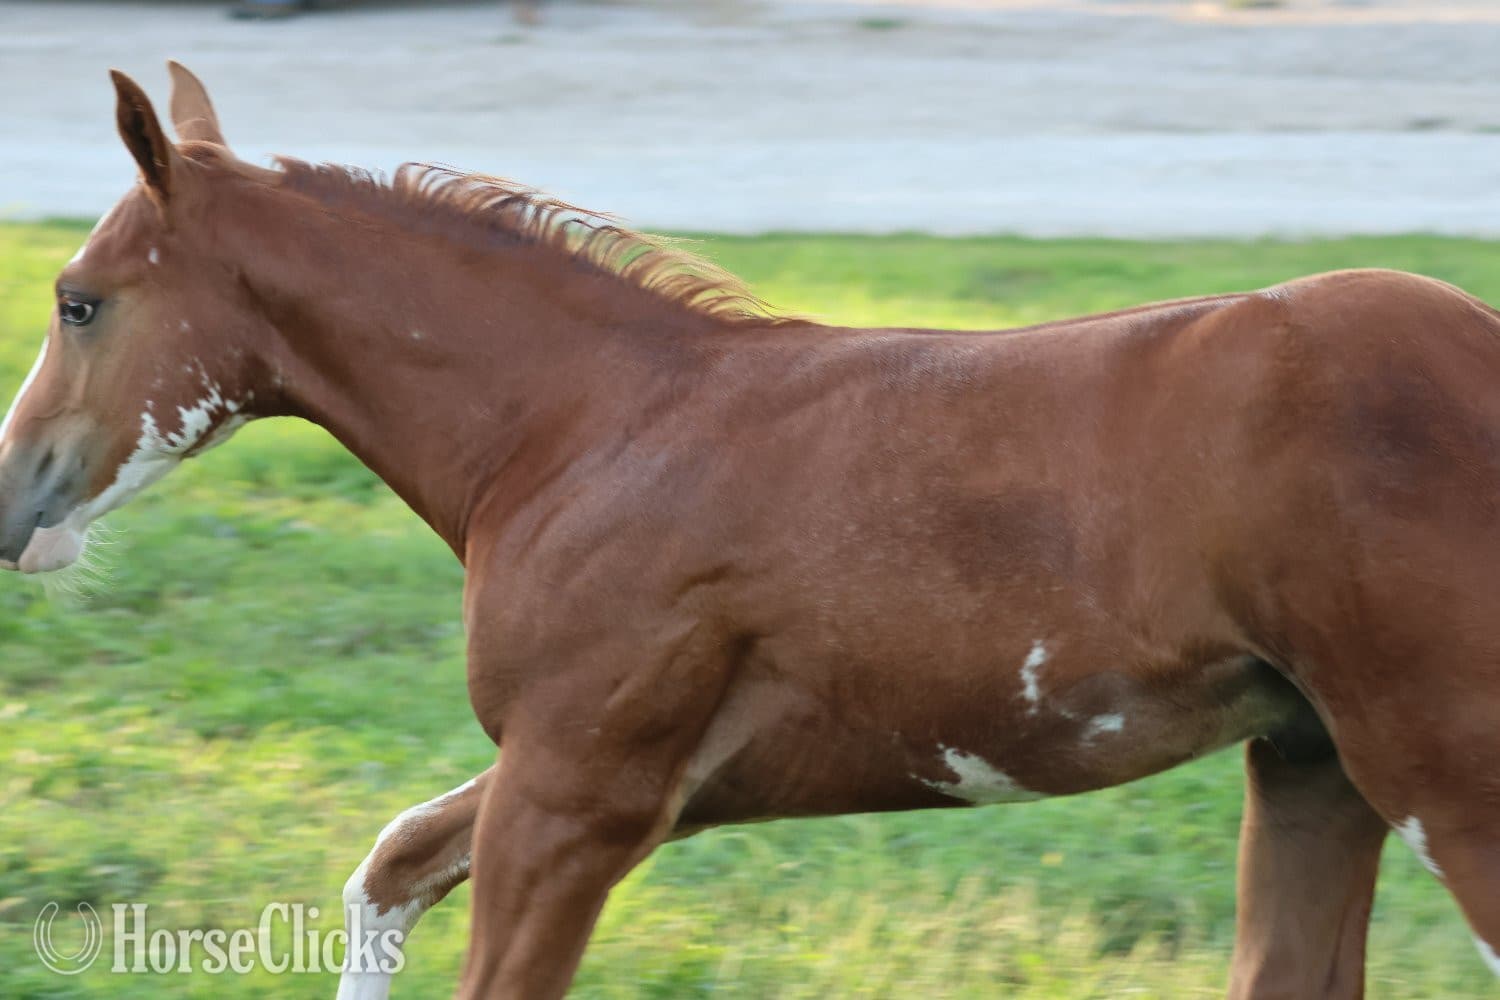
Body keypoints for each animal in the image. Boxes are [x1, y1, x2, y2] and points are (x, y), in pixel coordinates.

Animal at [1, 63, 1497, 999]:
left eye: (79, 299)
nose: (14, 497)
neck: (584, 425)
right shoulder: (634, 782)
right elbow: (392, 864)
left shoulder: (577, 793)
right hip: (1311, 762)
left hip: (1436, 769)